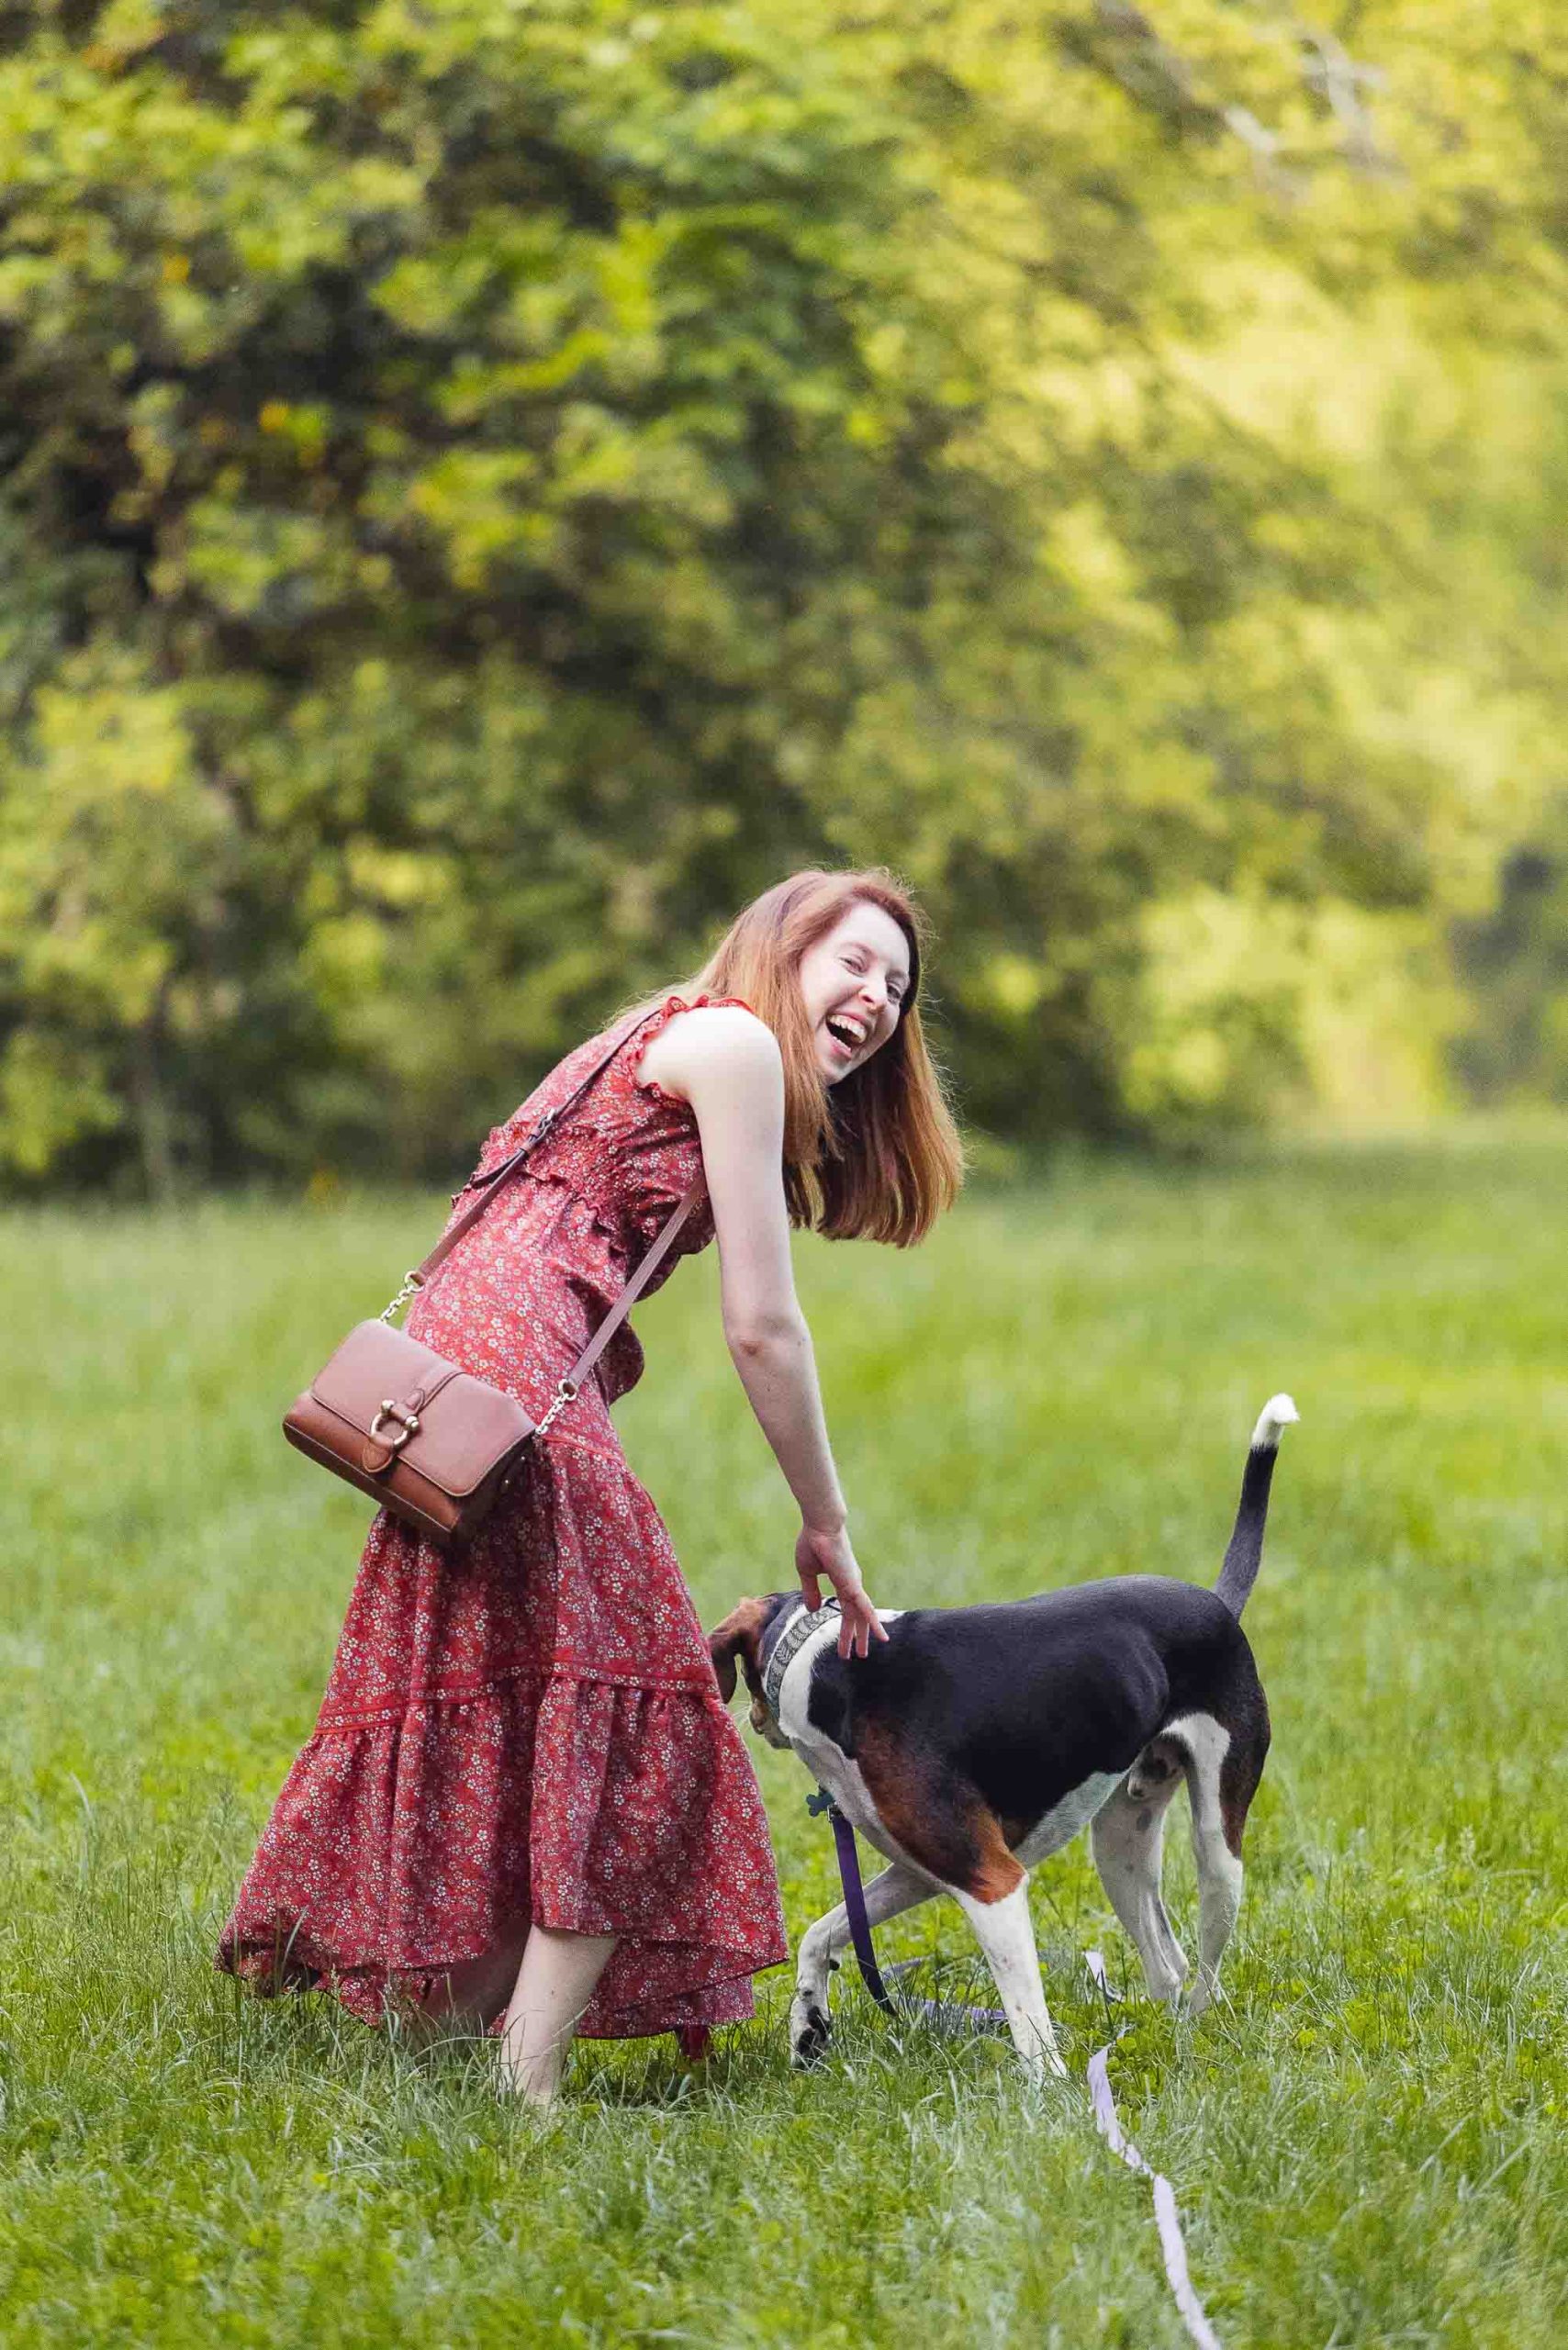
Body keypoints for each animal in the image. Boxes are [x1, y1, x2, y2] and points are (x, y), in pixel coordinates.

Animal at [710, 1391, 1297, 2077]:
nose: (753, 1720)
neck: (822, 1661)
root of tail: (1216, 1601)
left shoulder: (992, 1880)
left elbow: (1028, 2022)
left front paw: (1053, 2091)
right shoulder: (923, 1870)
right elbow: (821, 1933)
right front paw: (808, 2025)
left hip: (1217, 1848)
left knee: (1206, 1973)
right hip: (1120, 1847)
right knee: (1168, 1969)